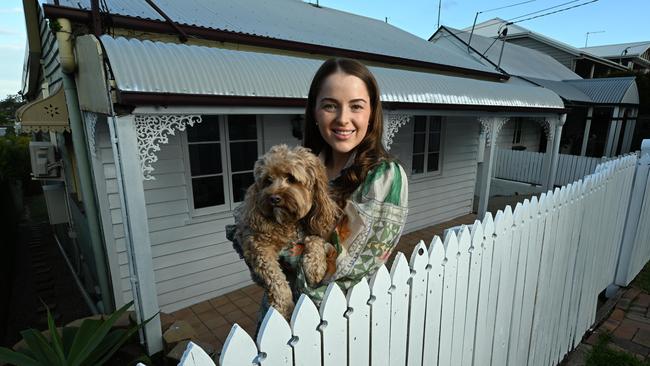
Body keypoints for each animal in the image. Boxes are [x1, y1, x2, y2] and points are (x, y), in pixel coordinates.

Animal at [237, 144, 340, 318]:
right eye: (268, 181)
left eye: (291, 178)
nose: (274, 198)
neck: (288, 223)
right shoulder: (258, 246)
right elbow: (275, 279)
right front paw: (283, 307)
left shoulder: (319, 229)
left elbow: (315, 239)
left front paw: (314, 268)